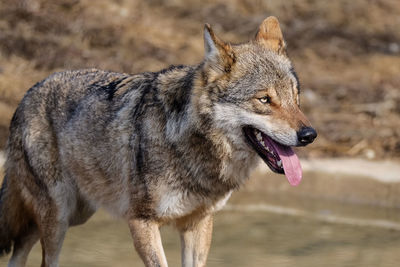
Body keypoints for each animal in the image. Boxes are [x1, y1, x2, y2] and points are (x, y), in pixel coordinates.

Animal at [0, 17, 318, 267]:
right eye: (264, 100)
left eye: (295, 97)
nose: (309, 135)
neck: (186, 145)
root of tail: (27, 94)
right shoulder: (142, 222)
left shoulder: (198, 224)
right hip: (59, 217)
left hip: (75, 214)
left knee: (20, 247)